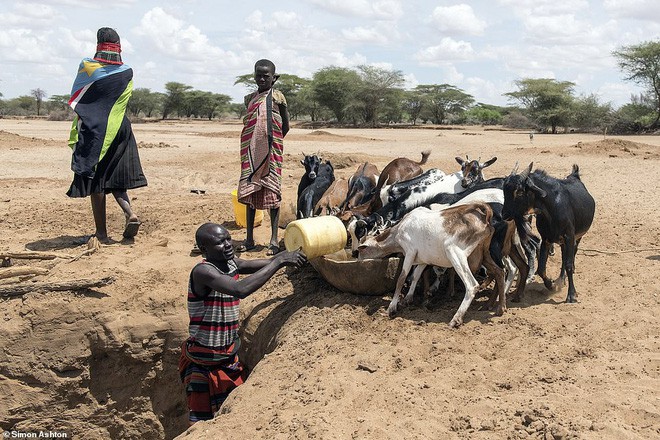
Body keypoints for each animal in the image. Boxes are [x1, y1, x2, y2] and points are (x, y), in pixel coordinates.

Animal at [356, 203, 506, 326]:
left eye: (361, 250)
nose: (357, 260)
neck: (399, 231)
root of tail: (484, 218)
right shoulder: (423, 259)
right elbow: (416, 276)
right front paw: (408, 299)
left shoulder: (410, 252)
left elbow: (401, 279)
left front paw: (391, 308)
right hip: (485, 253)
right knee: (500, 272)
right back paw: (500, 308)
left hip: (455, 253)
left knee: (472, 285)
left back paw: (456, 319)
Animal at [502, 162, 596, 302]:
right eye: (504, 190)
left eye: (519, 192)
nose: (504, 214)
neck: (552, 208)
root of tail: (575, 175)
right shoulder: (546, 238)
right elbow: (541, 269)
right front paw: (551, 285)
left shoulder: (569, 236)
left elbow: (568, 263)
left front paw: (572, 295)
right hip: (562, 241)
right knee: (564, 257)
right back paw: (561, 279)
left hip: (577, 236)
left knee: (572, 253)